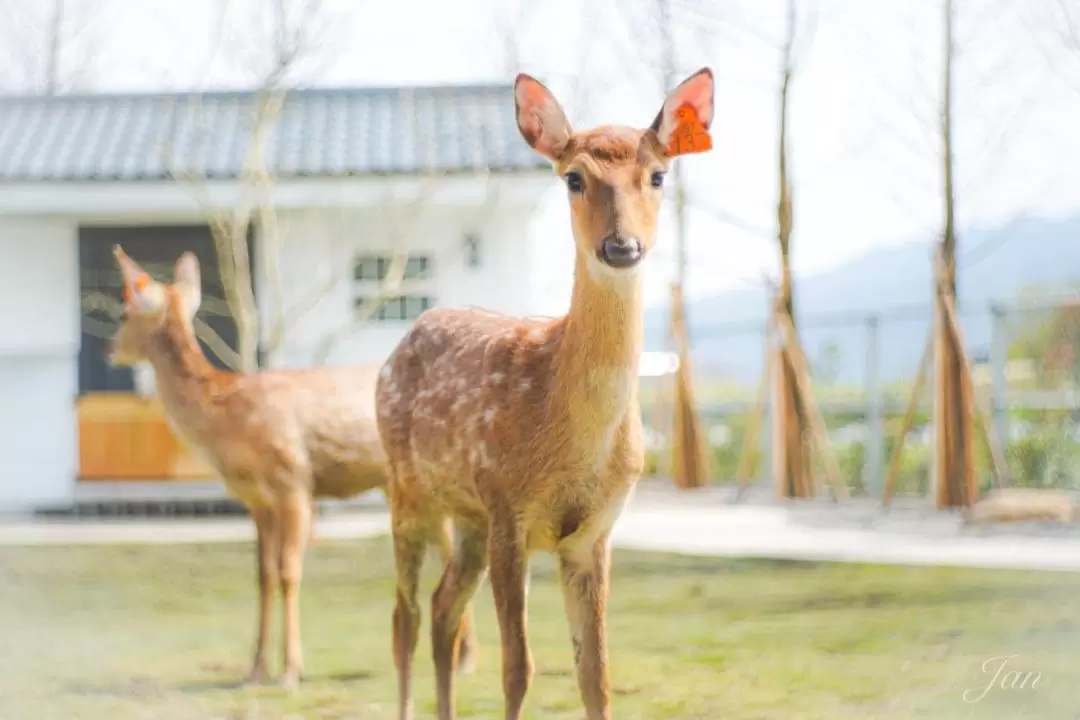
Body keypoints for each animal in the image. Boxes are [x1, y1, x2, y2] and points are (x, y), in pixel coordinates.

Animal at [106, 246, 477, 690]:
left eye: (124, 312)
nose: (109, 349)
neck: (228, 417)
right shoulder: (256, 500)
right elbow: (264, 575)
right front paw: (254, 671)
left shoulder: (294, 481)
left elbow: (288, 571)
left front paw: (290, 671)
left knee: (451, 550)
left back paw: (464, 657)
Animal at [373, 69, 717, 720]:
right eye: (574, 177)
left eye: (658, 175)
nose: (621, 246)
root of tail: (400, 342)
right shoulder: (510, 509)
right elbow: (519, 669)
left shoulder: (592, 534)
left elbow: (595, 675)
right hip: (409, 489)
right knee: (404, 617)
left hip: (468, 516)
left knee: (442, 609)